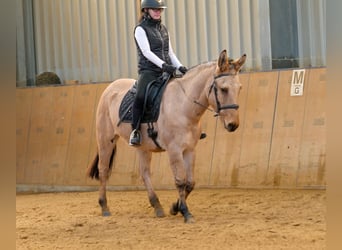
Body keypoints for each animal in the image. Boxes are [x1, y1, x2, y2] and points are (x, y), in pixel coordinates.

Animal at [85, 48, 246, 223]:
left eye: (239, 88)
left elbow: (190, 182)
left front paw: (175, 208)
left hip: (142, 147)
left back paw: (157, 206)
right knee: (103, 170)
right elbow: (181, 181)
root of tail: (110, 87)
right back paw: (104, 207)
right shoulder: (174, 150)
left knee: (144, 173)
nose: (233, 125)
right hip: (106, 140)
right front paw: (186, 212)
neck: (183, 104)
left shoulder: (190, 149)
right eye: (223, 89)